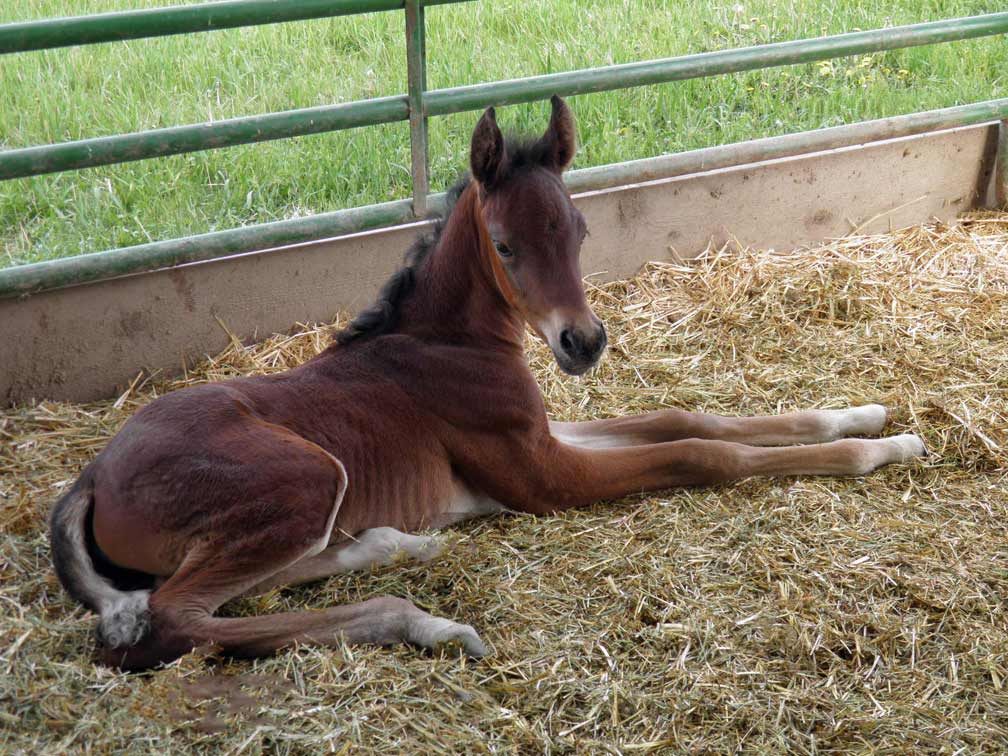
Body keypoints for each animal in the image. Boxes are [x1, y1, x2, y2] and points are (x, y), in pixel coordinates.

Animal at [53, 97, 923, 673]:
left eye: (579, 230)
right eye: (504, 244)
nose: (583, 342)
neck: (443, 342)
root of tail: (90, 477)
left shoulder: (542, 434)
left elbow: (688, 417)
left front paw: (862, 411)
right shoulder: (541, 474)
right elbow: (702, 455)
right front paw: (882, 450)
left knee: (237, 586)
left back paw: (394, 541)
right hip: (305, 477)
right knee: (175, 616)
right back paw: (424, 625)